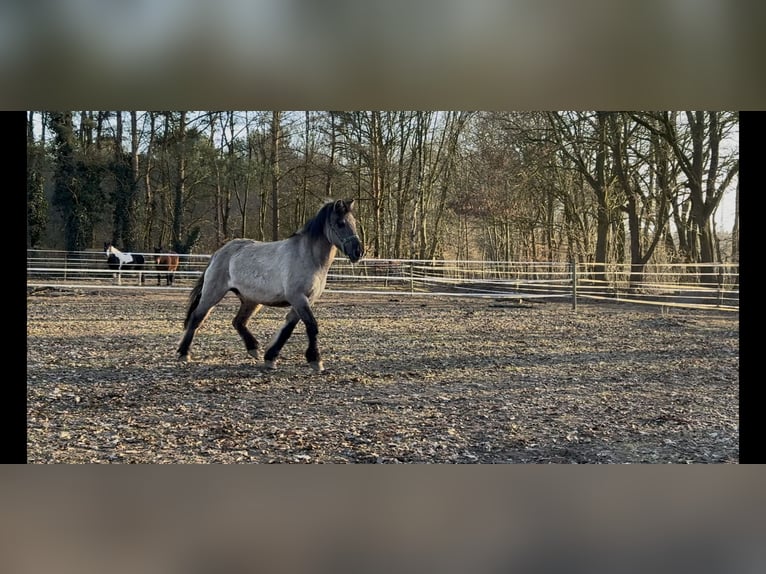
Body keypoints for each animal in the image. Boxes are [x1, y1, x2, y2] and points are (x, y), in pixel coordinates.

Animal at [177, 199, 364, 372]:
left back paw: (253, 349)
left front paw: (271, 357)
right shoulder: (298, 298)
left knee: (238, 322)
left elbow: (288, 328)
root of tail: (218, 253)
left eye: (354, 222)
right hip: (213, 294)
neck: (308, 256)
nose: (358, 252)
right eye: (341, 223)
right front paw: (315, 361)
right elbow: (311, 326)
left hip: (251, 301)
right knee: (197, 318)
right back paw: (183, 353)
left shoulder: (306, 300)